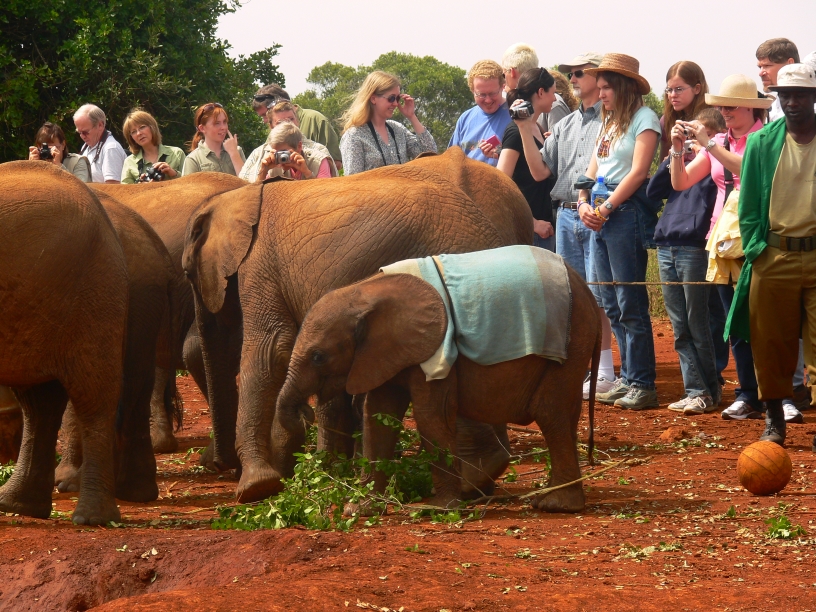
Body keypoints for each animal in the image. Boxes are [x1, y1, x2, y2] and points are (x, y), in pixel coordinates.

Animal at [182, 148, 534, 503]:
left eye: (187, 271)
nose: (218, 465)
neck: (240, 196)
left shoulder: (259, 264)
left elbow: (272, 349)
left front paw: (258, 487)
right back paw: (478, 479)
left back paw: (471, 480)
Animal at [275, 256, 601, 513]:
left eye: (318, 357)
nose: (305, 411)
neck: (363, 291)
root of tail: (587, 291)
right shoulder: (383, 353)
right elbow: (378, 415)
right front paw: (360, 510)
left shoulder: (433, 352)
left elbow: (430, 416)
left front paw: (438, 509)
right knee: (564, 415)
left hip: (571, 340)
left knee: (550, 413)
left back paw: (555, 504)